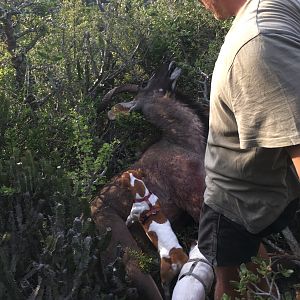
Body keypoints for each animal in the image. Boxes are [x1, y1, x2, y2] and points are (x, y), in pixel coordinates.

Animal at [119, 169, 188, 298]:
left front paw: (126, 225)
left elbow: (128, 220)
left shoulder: (132, 215)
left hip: (164, 277)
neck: (144, 197)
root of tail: (175, 255)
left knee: (166, 288)